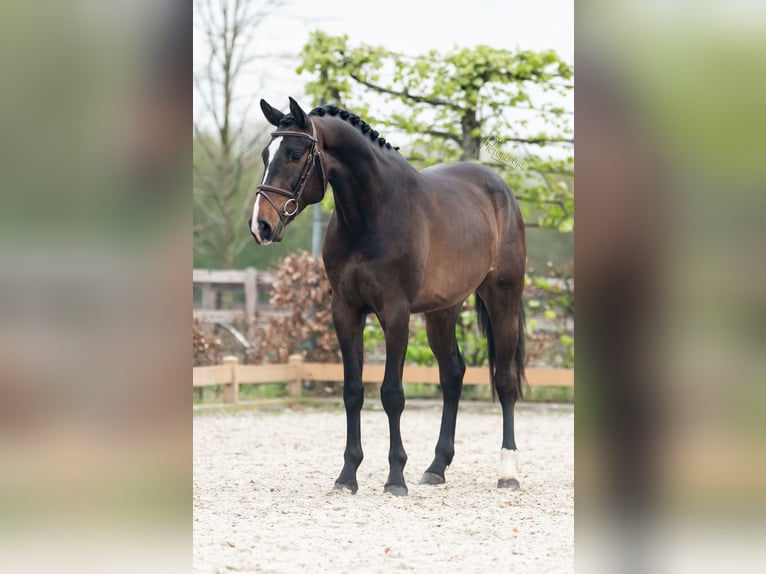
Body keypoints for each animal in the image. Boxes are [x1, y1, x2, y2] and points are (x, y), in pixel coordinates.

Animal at [252, 98, 528, 496]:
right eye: (265, 154)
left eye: (294, 154)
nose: (260, 226)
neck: (370, 216)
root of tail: (499, 189)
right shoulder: (345, 311)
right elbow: (353, 391)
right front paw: (347, 475)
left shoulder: (395, 313)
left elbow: (392, 394)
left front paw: (395, 477)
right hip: (442, 311)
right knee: (453, 374)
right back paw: (436, 467)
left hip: (502, 297)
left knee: (504, 379)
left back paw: (508, 471)